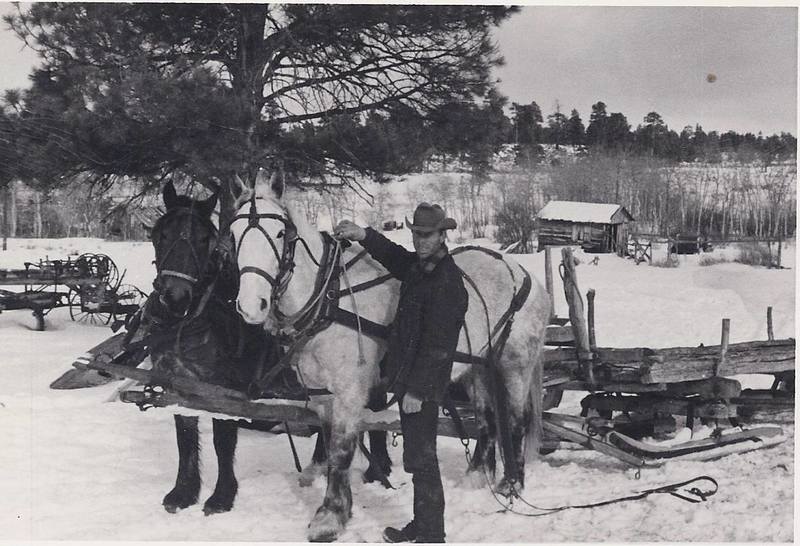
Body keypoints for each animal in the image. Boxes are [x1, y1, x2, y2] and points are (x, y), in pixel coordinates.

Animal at [231, 171, 552, 540]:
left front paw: (330, 516)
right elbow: (329, 442)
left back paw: (511, 485)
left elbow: (341, 450)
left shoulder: (350, 391)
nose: (251, 306)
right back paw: (474, 477)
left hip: (515, 364)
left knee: (515, 419)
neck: (329, 298)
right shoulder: (321, 394)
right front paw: (343, 508)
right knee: (486, 420)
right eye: (233, 233)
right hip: (479, 367)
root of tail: (525, 274)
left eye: (280, 233)